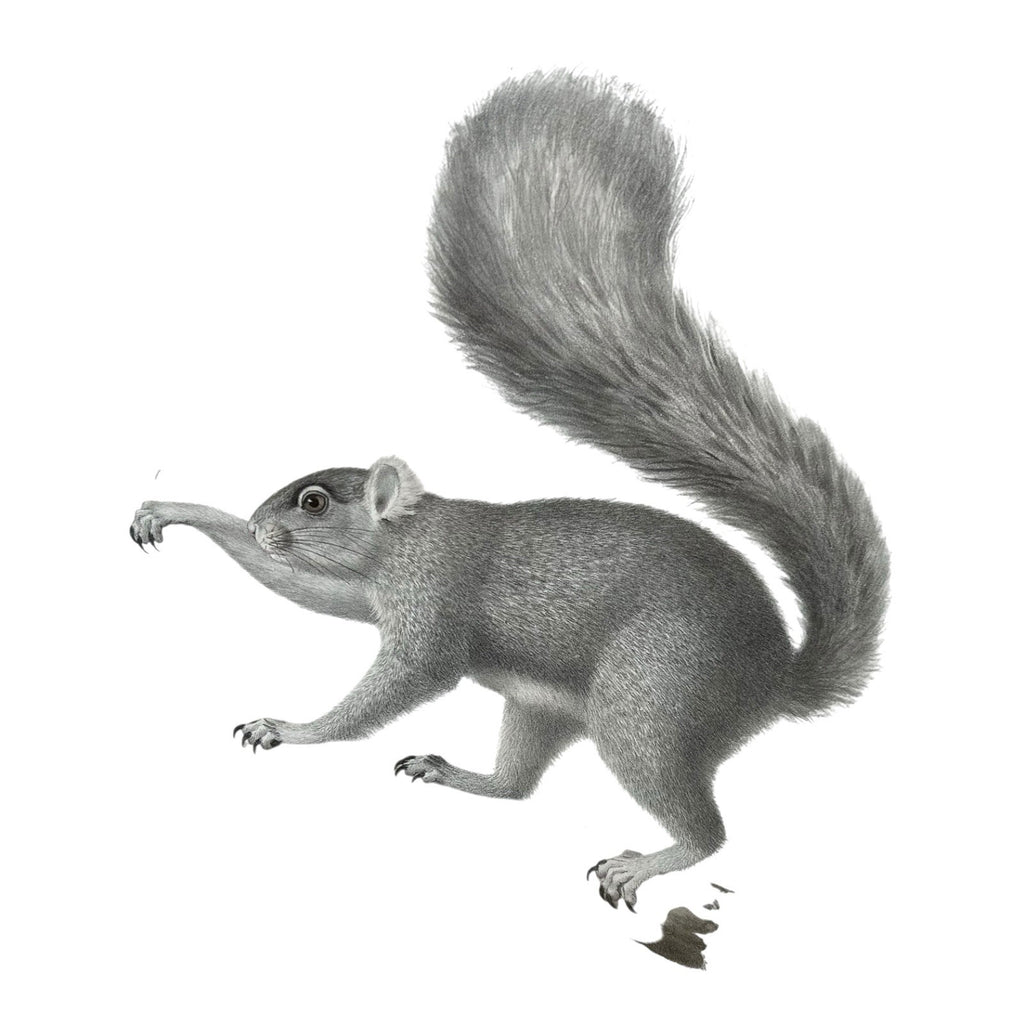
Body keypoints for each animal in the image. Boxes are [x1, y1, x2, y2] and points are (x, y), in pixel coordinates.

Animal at [130, 71, 889, 911]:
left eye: (317, 501)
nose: (265, 522)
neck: (411, 534)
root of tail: (775, 681)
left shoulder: (431, 593)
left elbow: (401, 679)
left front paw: (293, 729)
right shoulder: (369, 590)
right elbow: (300, 588)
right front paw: (174, 510)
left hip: (650, 697)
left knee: (707, 828)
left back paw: (645, 862)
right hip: (543, 707)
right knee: (517, 788)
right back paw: (454, 772)